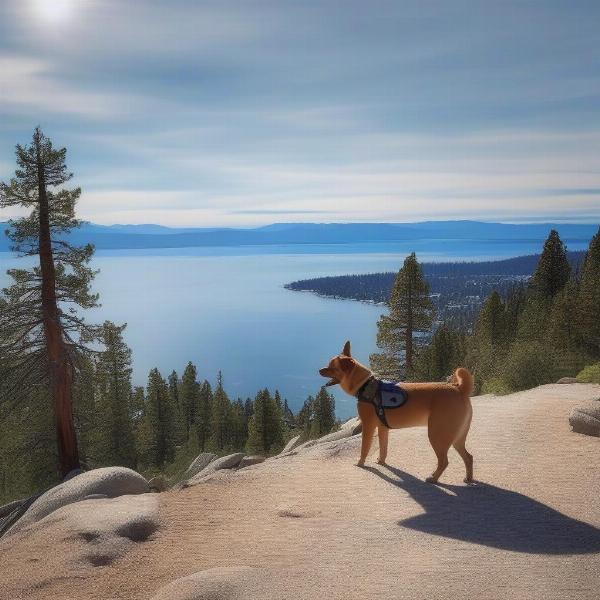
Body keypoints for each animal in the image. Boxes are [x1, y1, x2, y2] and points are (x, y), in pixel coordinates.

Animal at [318, 342, 474, 482]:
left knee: (444, 461)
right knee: (469, 457)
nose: (319, 369)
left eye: (332, 367)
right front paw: (381, 462)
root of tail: (459, 389)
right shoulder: (382, 428)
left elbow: (364, 448)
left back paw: (433, 478)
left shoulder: (368, 427)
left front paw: (360, 463)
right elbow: (383, 448)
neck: (365, 385)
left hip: (437, 435)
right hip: (458, 437)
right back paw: (468, 478)